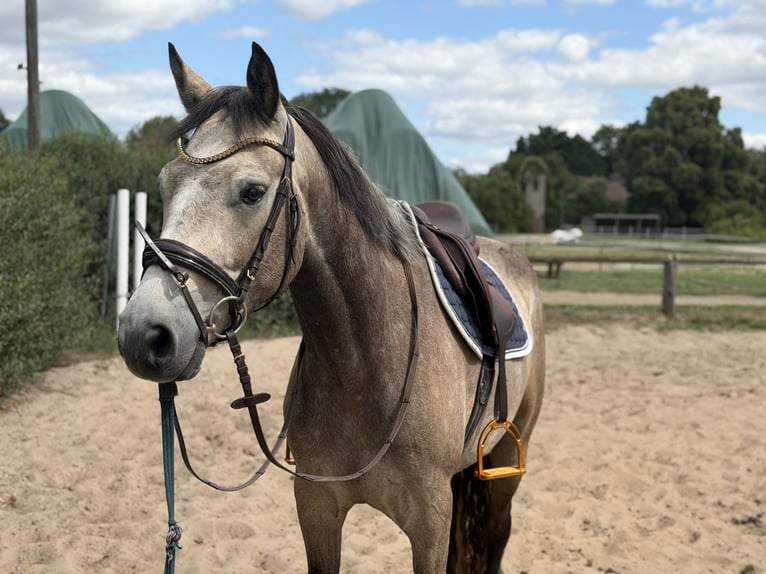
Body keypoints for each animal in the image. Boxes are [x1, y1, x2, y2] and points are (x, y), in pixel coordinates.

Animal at [117, 41, 545, 573]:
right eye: (164, 183)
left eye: (252, 191)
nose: (144, 334)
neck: (365, 363)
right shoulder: (317, 509)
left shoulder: (429, 521)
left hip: (506, 463)